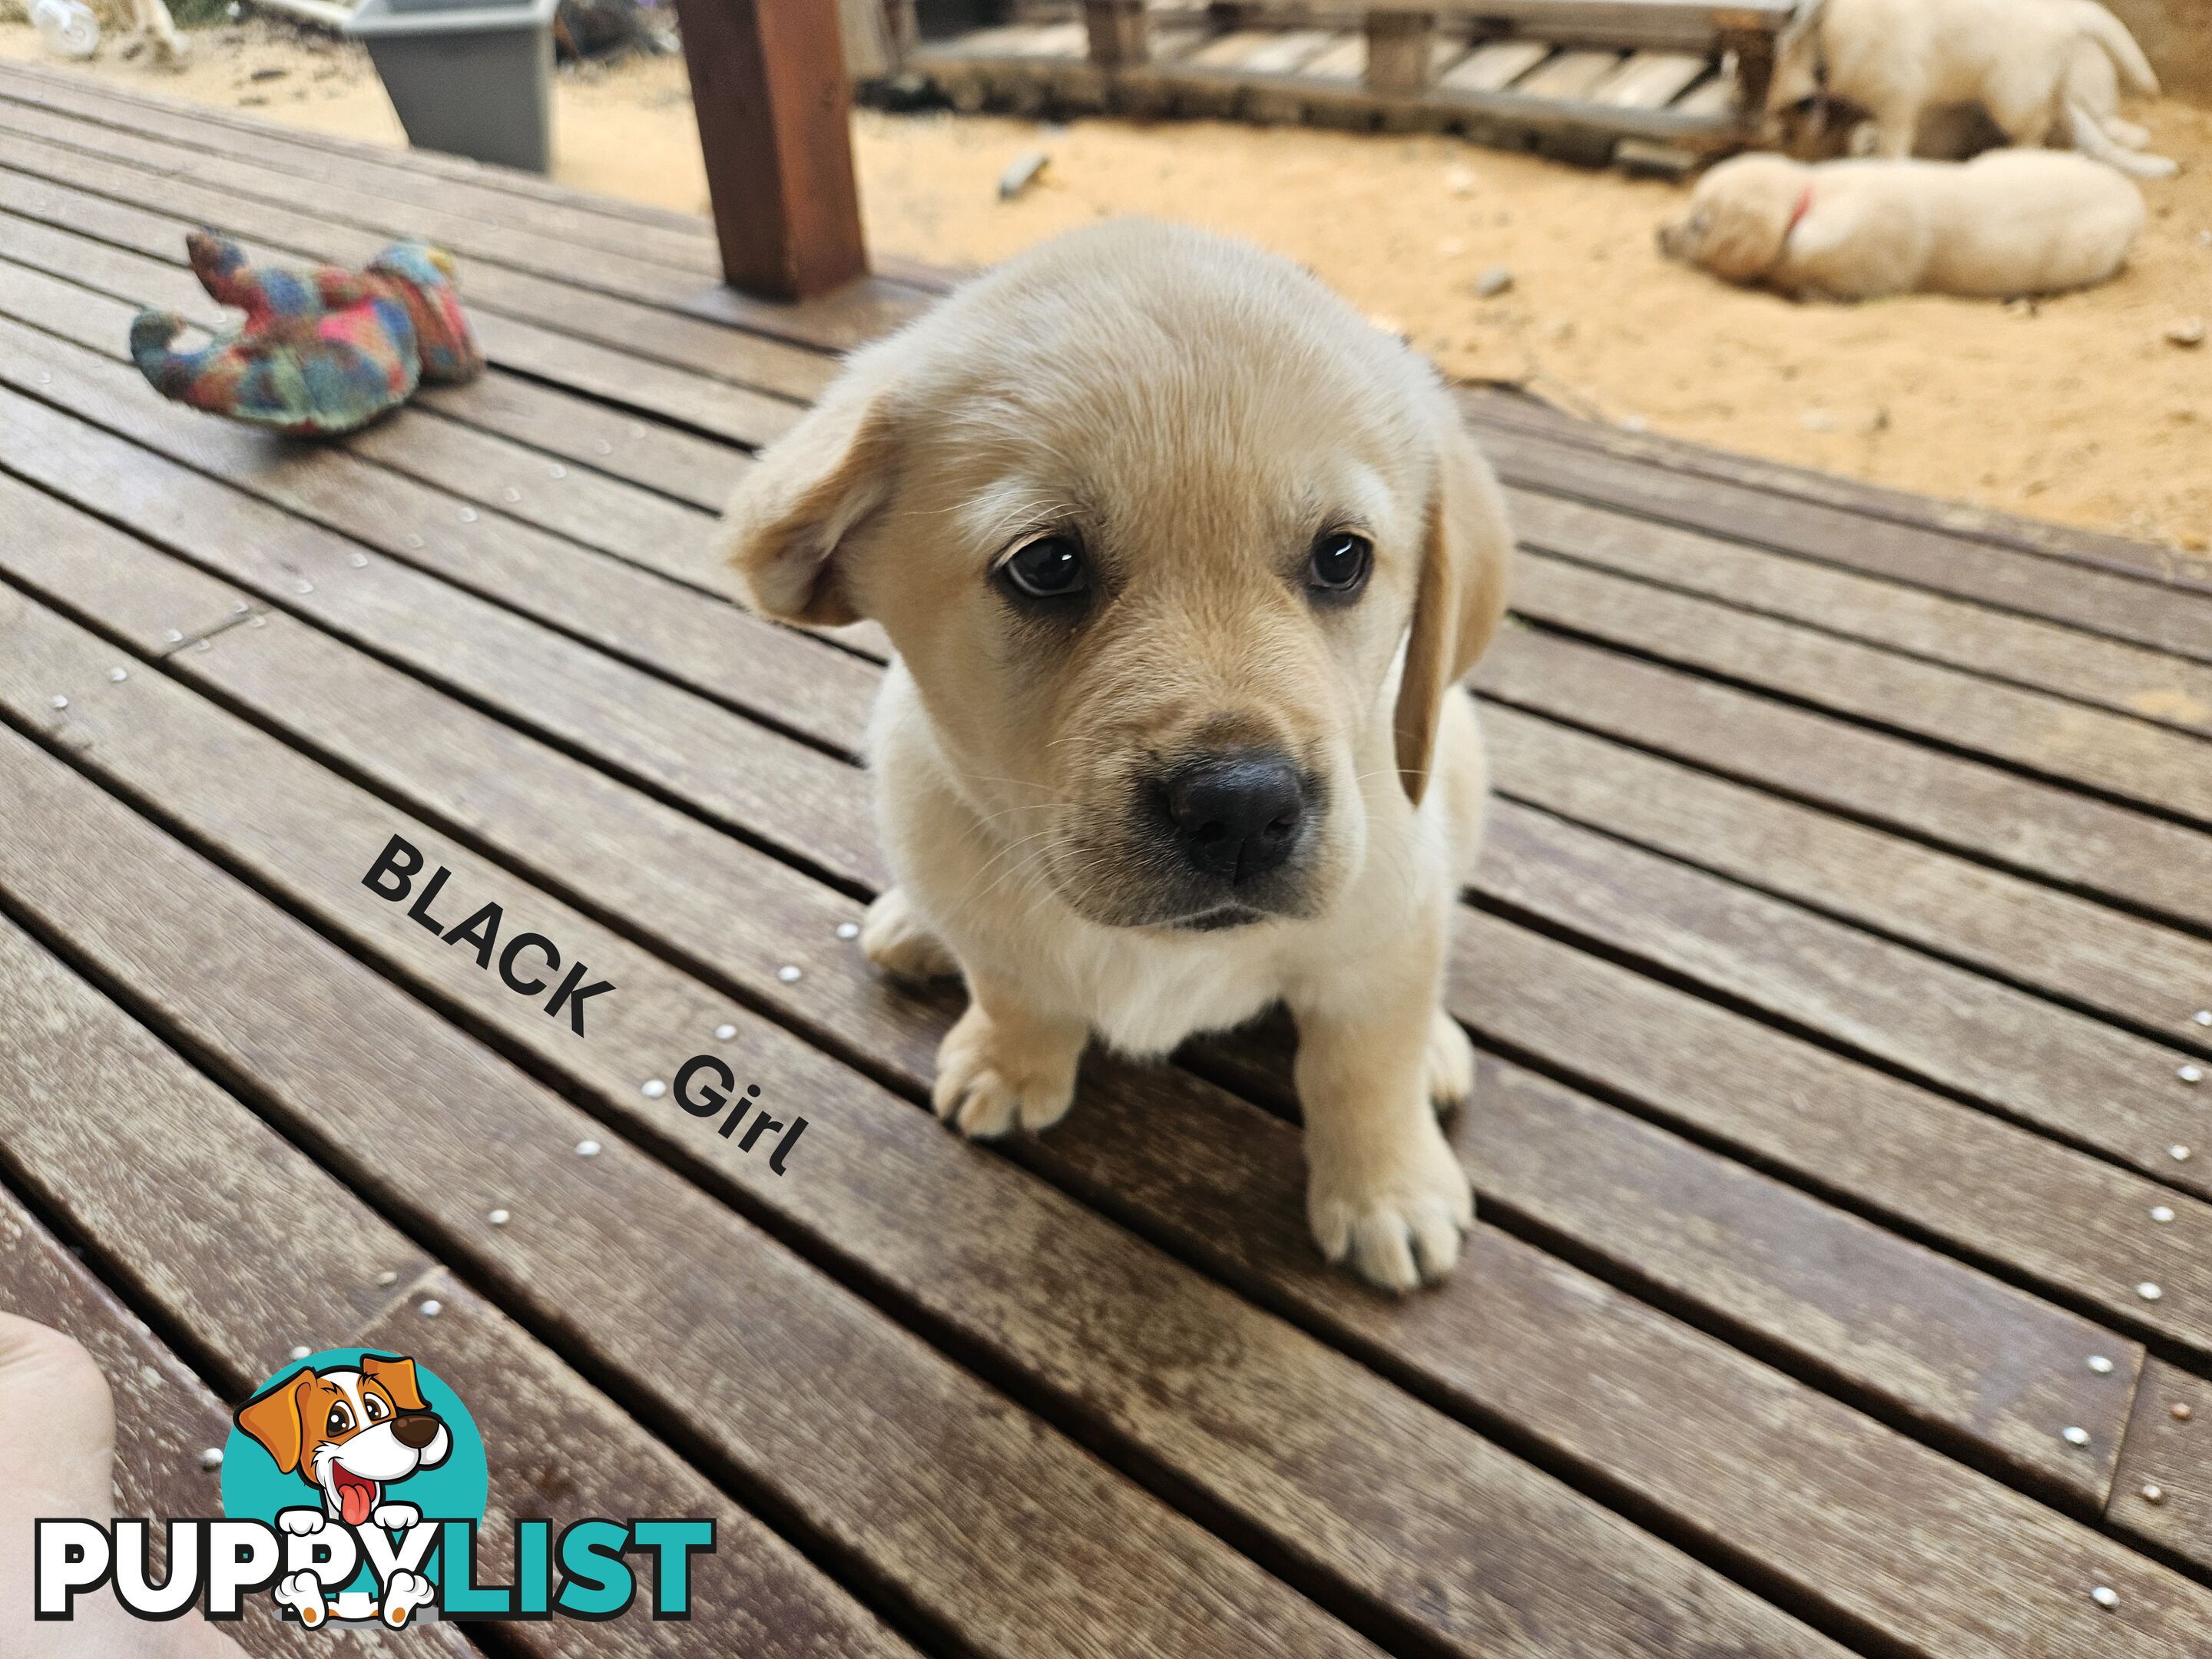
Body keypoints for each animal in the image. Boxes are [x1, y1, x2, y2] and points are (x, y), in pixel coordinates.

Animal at [717, 221, 1512, 1291]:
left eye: (1342, 558)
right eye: (1047, 565)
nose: (1240, 808)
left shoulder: (1382, 935)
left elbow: (1365, 1065)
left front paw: (1388, 1190)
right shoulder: (992, 920)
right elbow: (1015, 988)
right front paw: (1011, 1063)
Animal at [1770, 0, 2167, 179]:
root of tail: (2068, 13)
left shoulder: (1899, 99)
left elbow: (1892, 145)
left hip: (2010, 97)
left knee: (2037, 130)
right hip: (2046, 88)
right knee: (2074, 119)